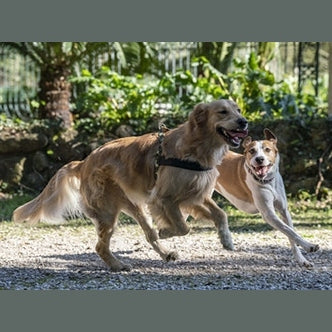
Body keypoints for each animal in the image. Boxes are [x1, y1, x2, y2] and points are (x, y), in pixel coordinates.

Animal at [13, 100, 248, 272]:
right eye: (223, 112)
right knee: (100, 246)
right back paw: (118, 265)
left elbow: (220, 214)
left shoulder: (193, 196)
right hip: (108, 212)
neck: (196, 146)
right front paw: (166, 231)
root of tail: (83, 162)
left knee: (148, 234)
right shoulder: (164, 198)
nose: (244, 122)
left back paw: (164, 253)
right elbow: (183, 227)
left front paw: (226, 240)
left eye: (238, 110)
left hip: (133, 206)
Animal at [215, 128, 320, 268]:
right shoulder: (268, 214)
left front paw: (302, 260)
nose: (259, 159)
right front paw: (309, 245)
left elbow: (291, 233)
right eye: (252, 151)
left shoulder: (284, 210)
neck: (268, 182)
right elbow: (289, 231)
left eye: (267, 149)